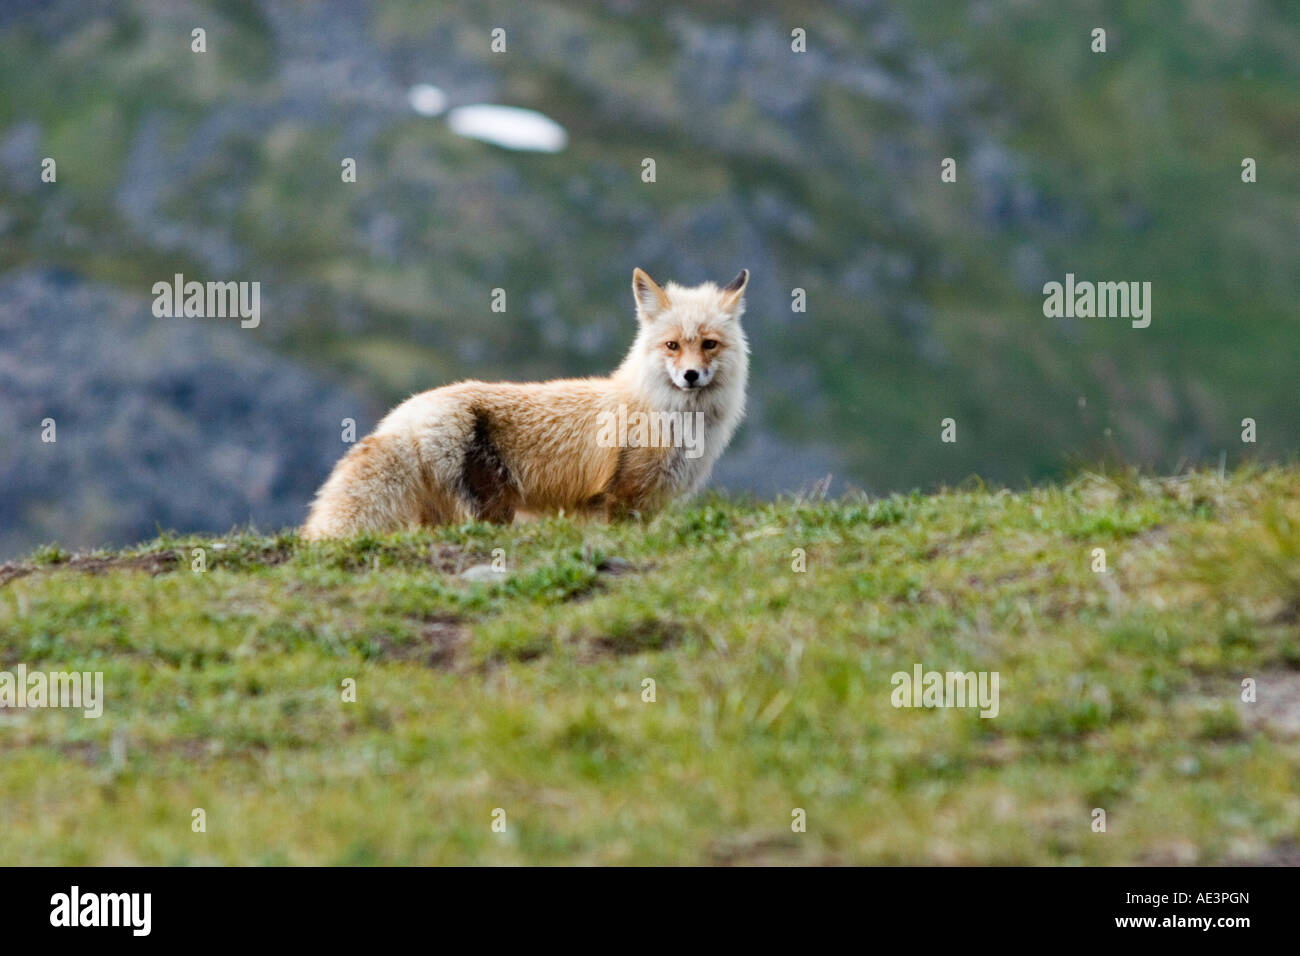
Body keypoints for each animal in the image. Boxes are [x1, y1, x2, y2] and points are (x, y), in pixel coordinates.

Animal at [301, 268, 750, 539]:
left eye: (709, 345)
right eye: (672, 345)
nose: (690, 375)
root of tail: (405, 413)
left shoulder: (651, 506)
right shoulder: (620, 500)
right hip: (490, 512)